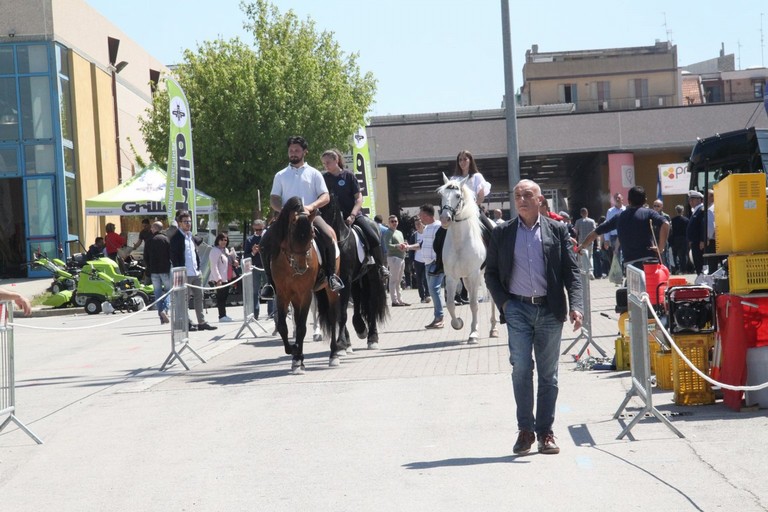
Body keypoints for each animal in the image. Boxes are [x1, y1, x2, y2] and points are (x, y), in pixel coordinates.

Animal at [272, 196, 340, 372]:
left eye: (312, 234)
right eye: (291, 234)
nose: (303, 267)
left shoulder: (306, 293)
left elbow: (302, 327)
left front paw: (296, 354)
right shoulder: (282, 294)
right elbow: (283, 325)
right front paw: (293, 352)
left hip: (329, 289)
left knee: (332, 317)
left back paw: (334, 355)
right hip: (295, 297)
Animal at [320, 198, 388, 350]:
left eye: (330, 207)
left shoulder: (346, 278)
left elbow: (342, 312)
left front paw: (341, 343)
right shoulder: (335, 283)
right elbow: (339, 312)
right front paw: (345, 343)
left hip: (373, 275)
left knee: (372, 304)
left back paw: (372, 338)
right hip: (356, 279)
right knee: (357, 299)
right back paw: (360, 327)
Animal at [438, 173, 498, 344]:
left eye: (458, 196)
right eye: (441, 195)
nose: (445, 219)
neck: (460, 241)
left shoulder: (474, 274)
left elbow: (473, 304)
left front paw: (473, 334)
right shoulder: (452, 276)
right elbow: (450, 304)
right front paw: (458, 323)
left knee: (492, 299)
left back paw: (493, 328)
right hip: (465, 278)